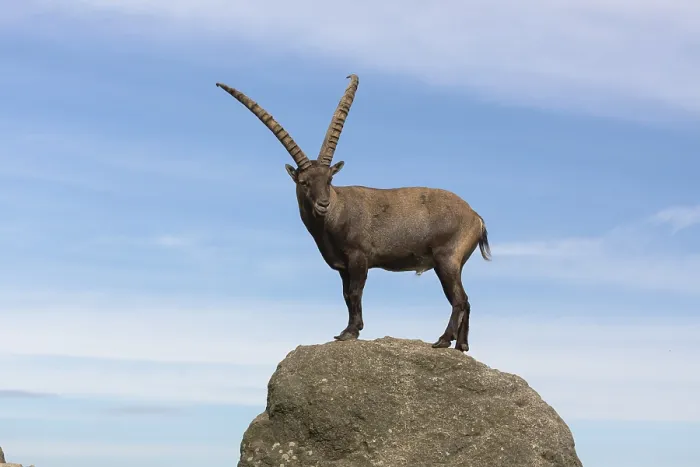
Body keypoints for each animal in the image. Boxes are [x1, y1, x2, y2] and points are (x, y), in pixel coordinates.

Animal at [215, 75, 491, 352]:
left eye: (329, 179)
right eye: (304, 182)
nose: (323, 204)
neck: (336, 215)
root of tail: (475, 216)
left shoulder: (359, 257)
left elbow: (356, 292)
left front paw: (351, 332)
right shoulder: (342, 266)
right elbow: (346, 295)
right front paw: (347, 330)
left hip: (447, 259)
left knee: (459, 299)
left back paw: (444, 340)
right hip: (454, 263)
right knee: (465, 300)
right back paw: (462, 345)